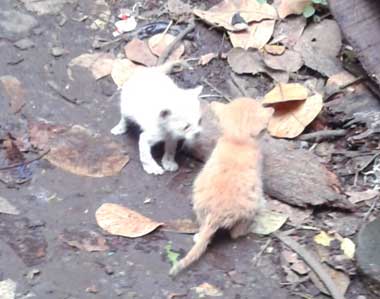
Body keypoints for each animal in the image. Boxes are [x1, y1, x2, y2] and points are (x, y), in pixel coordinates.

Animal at [169, 98, 274, 276]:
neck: (237, 140)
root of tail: (215, 214)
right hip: (248, 209)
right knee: (235, 234)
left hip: (198, 198)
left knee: (203, 226)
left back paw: (198, 235)